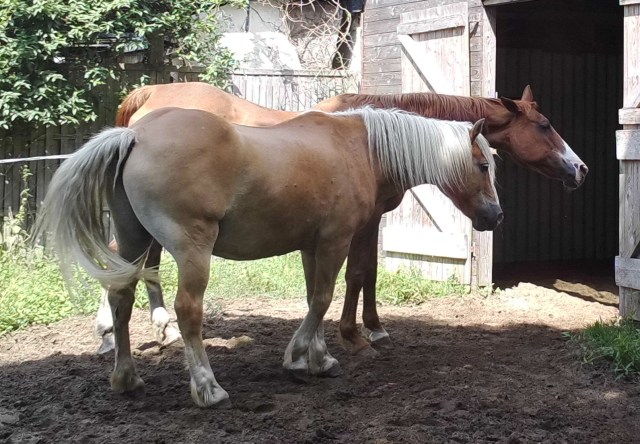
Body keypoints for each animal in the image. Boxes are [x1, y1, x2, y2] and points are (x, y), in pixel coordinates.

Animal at [35, 106, 502, 407]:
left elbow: (315, 298)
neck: (360, 148)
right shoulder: (335, 240)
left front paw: (318, 358)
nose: (495, 216)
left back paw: (127, 378)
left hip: (136, 242)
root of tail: (135, 135)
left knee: (121, 299)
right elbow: (323, 298)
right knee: (188, 311)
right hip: (190, 249)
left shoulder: (312, 245)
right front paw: (299, 358)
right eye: (482, 165)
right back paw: (208, 388)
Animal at [94, 82, 588, 355]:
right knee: (124, 257)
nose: (579, 168)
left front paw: (372, 329)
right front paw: (355, 335)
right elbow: (356, 274)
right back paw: (113, 331)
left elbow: (365, 273)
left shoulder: (369, 221)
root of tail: (149, 99)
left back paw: (150, 330)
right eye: (544, 126)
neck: (374, 137)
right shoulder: (361, 223)